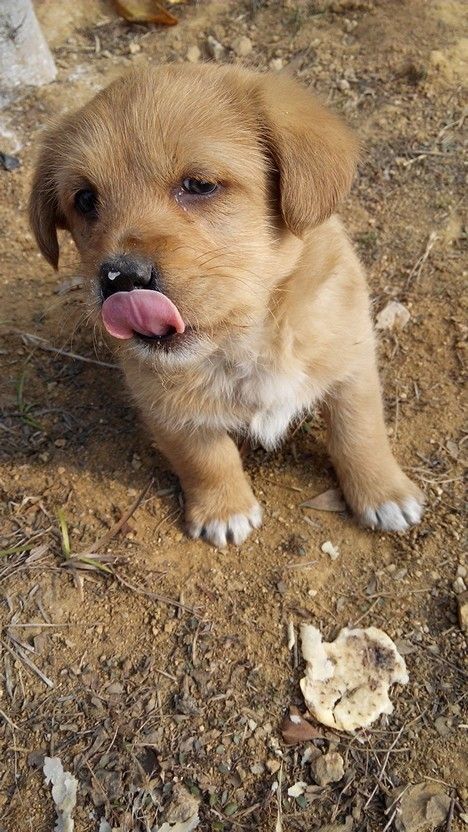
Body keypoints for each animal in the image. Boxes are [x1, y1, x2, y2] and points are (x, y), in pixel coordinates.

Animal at [29, 64, 424, 547]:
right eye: (85, 199)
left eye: (199, 185)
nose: (121, 279)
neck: (246, 339)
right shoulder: (165, 406)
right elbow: (205, 457)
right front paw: (224, 509)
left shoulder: (352, 363)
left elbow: (360, 432)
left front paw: (383, 492)